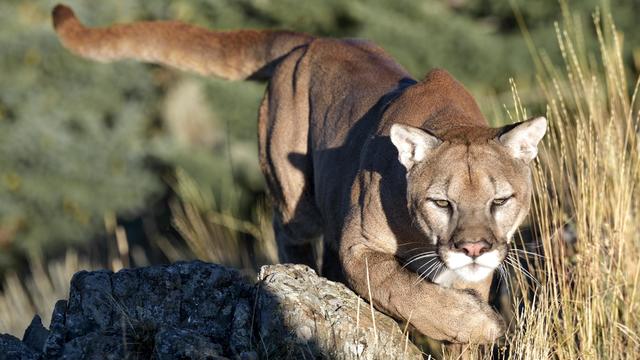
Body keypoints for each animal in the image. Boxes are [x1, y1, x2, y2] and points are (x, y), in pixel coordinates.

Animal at [52, 4, 548, 344]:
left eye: (500, 201)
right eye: (441, 202)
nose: (474, 249)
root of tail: (314, 40)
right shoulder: (358, 246)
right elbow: (405, 290)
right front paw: (481, 324)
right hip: (294, 195)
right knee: (289, 230)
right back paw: (297, 277)